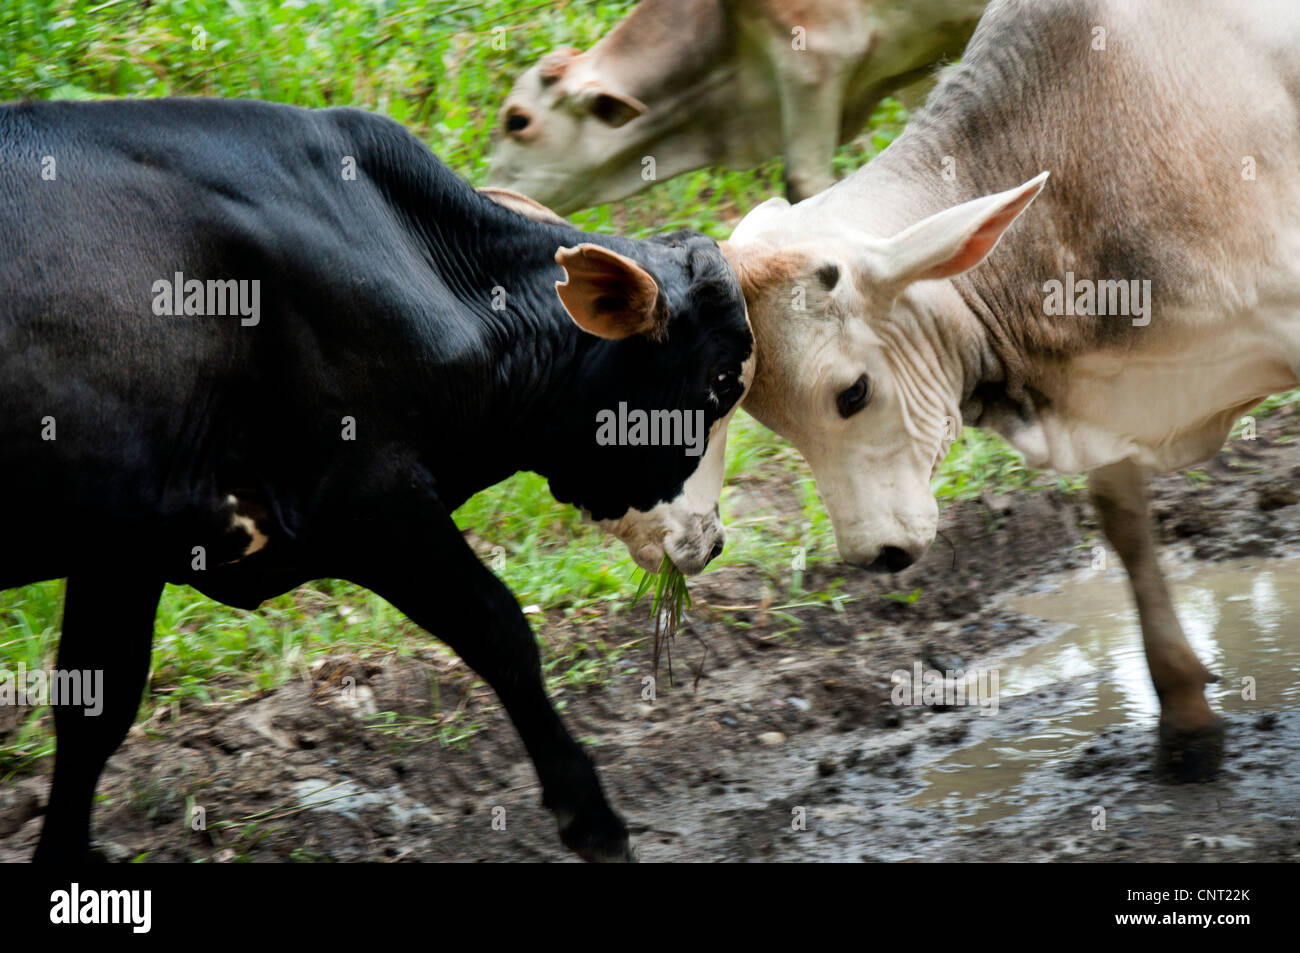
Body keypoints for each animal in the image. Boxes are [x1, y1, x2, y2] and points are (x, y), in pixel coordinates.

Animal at [0, 97, 754, 862]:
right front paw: (593, 819)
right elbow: (500, 630)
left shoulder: (126, 546)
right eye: (721, 383)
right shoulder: (371, 497)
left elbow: (97, 702)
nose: (714, 540)